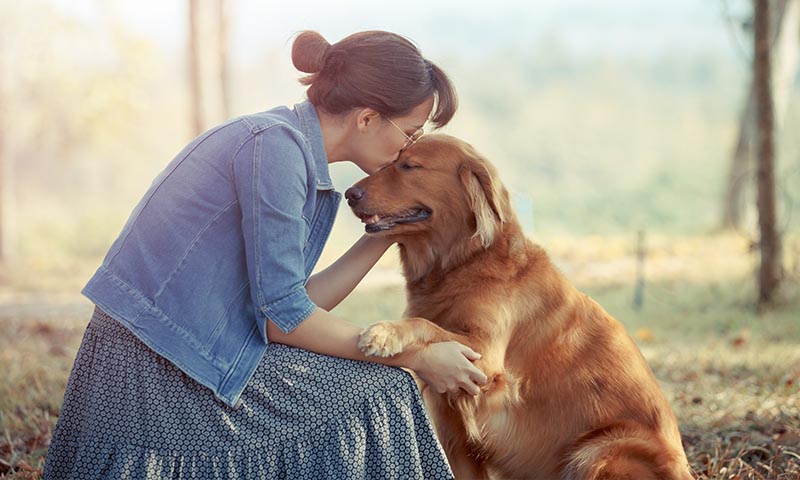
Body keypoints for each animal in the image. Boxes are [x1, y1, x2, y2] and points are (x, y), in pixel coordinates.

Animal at [346, 135, 692, 480]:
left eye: (409, 166)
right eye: (389, 163)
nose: (350, 194)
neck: (463, 262)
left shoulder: (483, 358)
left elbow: (424, 324)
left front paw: (383, 333)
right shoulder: (454, 430)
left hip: (598, 450)